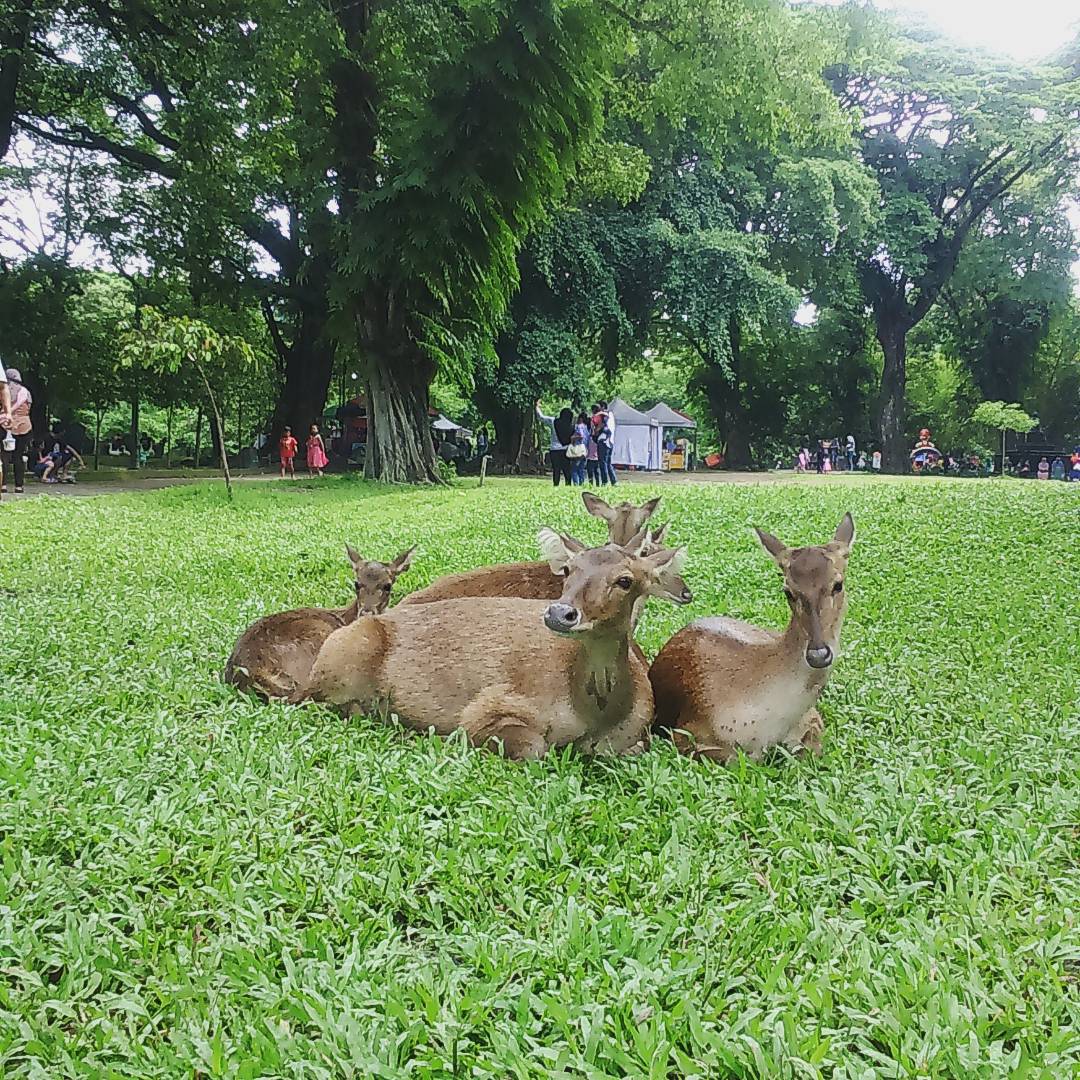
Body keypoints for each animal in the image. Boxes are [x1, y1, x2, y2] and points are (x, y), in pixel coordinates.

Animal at [291, 529, 686, 760]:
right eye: (569, 570)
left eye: (625, 580)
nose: (560, 613)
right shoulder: (492, 704)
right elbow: (532, 746)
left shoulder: (640, 732)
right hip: (343, 655)